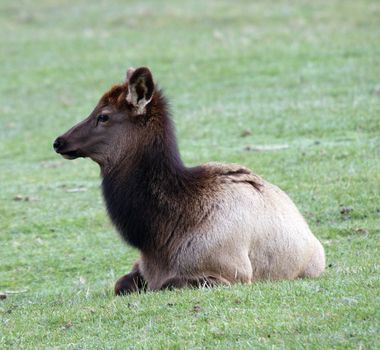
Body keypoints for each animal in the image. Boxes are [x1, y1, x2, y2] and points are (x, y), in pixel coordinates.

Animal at [54, 66, 326, 296]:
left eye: (104, 116)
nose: (58, 141)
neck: (158, 238)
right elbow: (120, 283)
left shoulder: (232, 271)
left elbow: (170, 283)